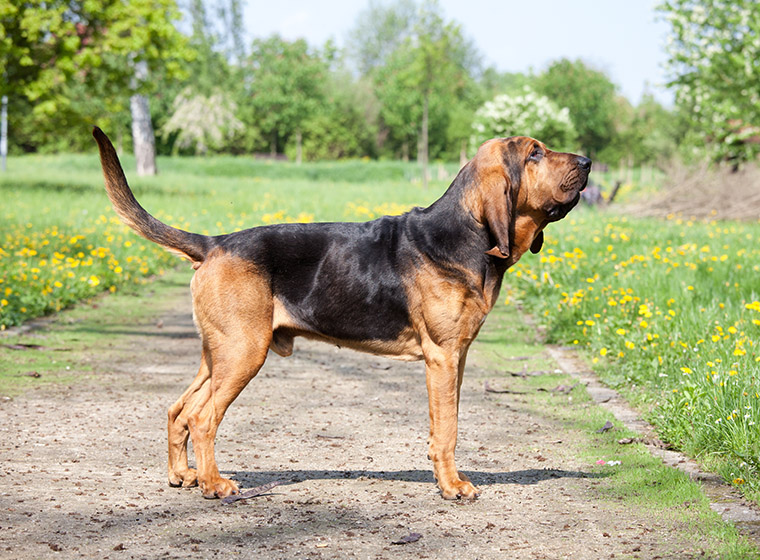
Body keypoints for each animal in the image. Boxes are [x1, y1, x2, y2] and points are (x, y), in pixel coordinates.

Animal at [93, 128, 592, 498]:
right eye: (534, 153)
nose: (588, 162)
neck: (466, 233)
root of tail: (213, 243)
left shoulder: (458, 357)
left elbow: (445, 424)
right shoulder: (443, 357)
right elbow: (447, 429)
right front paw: (453, 486)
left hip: (218, 354)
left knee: (179, 409)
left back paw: (183, 476)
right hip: (243, 353)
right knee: (202, 417)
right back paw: (215, 484)